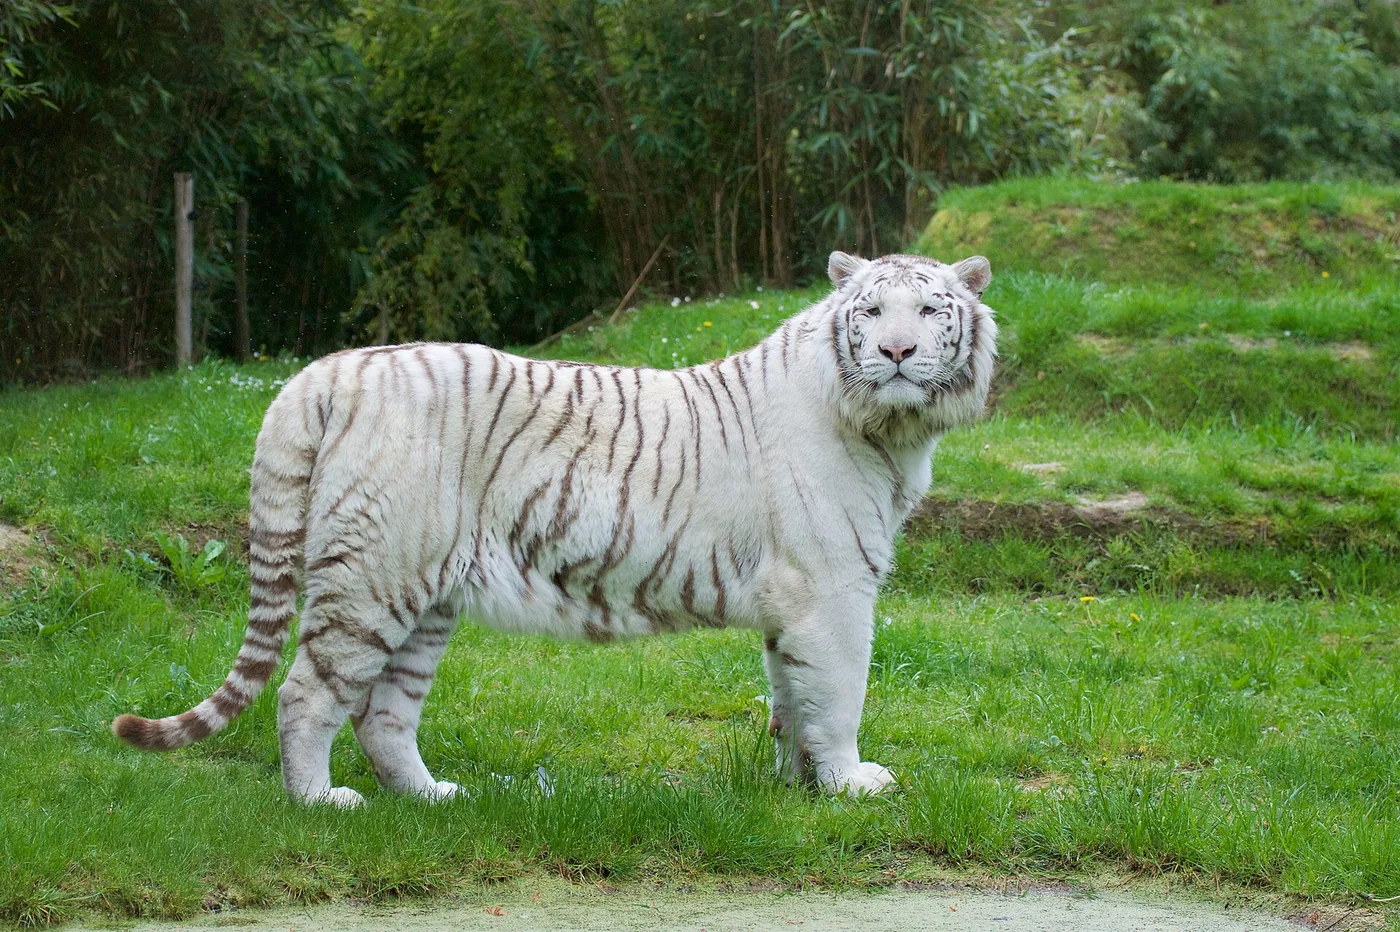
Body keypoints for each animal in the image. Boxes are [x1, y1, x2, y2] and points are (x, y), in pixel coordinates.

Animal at [113, 250, 997, 807]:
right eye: (871, 311)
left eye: (929, 309)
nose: (896, 352)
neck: (888, 428)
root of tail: (326, 370)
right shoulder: (832, 587)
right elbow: (841, 693)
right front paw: (851, 787)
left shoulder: (792, 600)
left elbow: (792, 697)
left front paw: (797, 788)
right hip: (373, 579)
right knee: (306, 693)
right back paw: (320, 802)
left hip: (427, 594)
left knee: (384, 714)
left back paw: (432, 797)